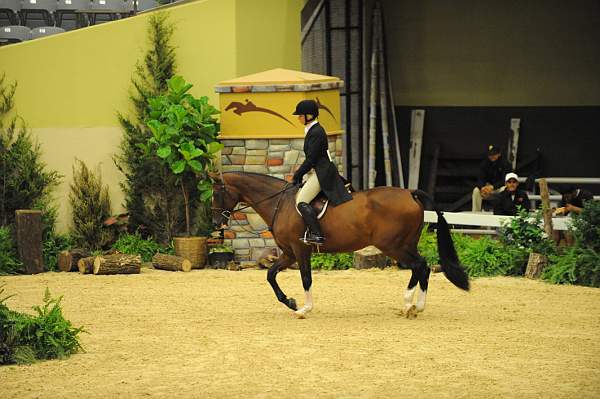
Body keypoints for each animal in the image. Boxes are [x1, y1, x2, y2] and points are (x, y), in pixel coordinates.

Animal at [211, 171, 468, 318]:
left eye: (215, 193)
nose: (216, 222)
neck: (279, 203)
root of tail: (410, 193)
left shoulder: (300, 249)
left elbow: (306, 278)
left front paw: (304, 309)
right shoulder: (289, 253)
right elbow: (270, 275)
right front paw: (292, 303)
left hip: (393, 246)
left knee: (420, 266)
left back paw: (408, 305)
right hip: (405, 244)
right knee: (422, 267)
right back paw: (415, 306)